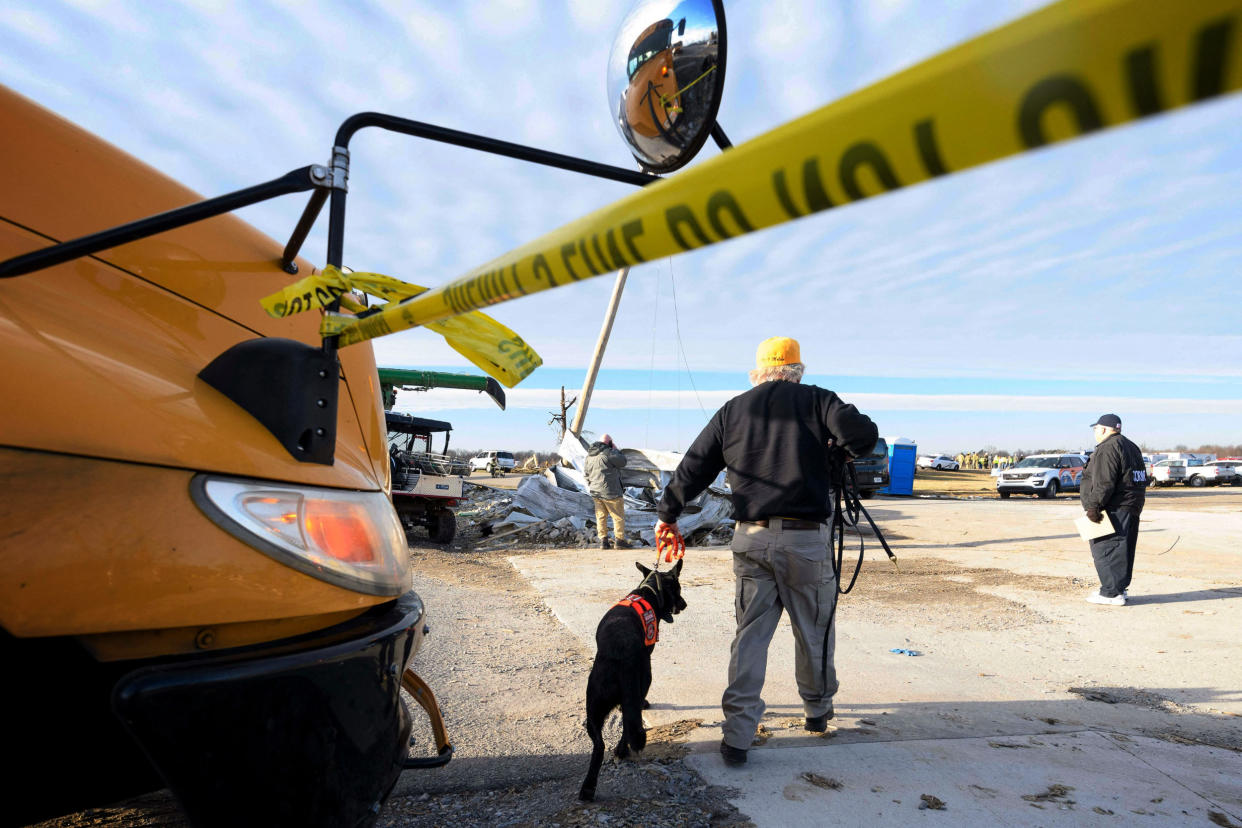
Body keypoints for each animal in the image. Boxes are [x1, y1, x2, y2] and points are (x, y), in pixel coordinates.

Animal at [576, 561, 685, 799]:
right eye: (678, 589)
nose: (684, 604)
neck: (648, 591)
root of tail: (620, 654)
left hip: (593, 708)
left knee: (599, 746)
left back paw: (588, 788)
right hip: (643, 680)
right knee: (628, 723)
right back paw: (621, 750)